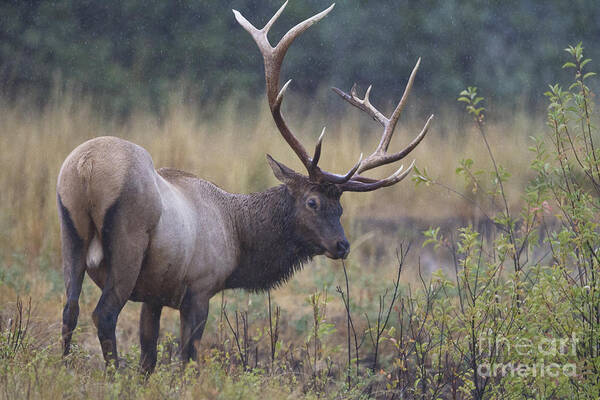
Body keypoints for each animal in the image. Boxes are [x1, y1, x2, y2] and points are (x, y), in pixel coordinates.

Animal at [57, 1, 432, 374]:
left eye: (340, 207)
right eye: (312, 202)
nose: (342, 245)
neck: (237, 239)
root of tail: (85, 168)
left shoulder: (154, 295)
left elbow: (149, 356)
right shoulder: (199, 287)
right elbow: (188, 355)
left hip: (69, 231)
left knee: (70, 307)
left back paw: (62, 365)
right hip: (128, 243)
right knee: (103, 314)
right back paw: (112, 372)